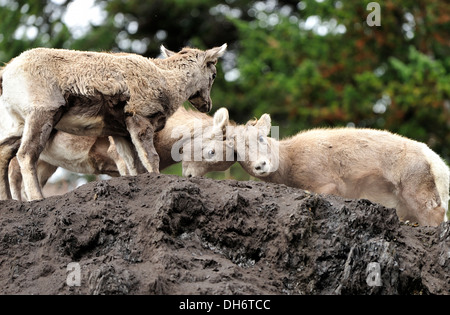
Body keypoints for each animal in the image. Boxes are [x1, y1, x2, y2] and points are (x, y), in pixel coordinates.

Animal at [0, 44, 225, 201]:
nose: (207, 105)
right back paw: (37, 198)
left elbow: (133, 165)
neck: (169, 82)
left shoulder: (120, 132)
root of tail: (6, 74)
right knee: (25, 154)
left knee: (4, 154)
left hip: (17, 124)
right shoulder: (140, 118)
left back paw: (7, 200)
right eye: (213, 74)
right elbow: (150, 158)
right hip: (42, 114)